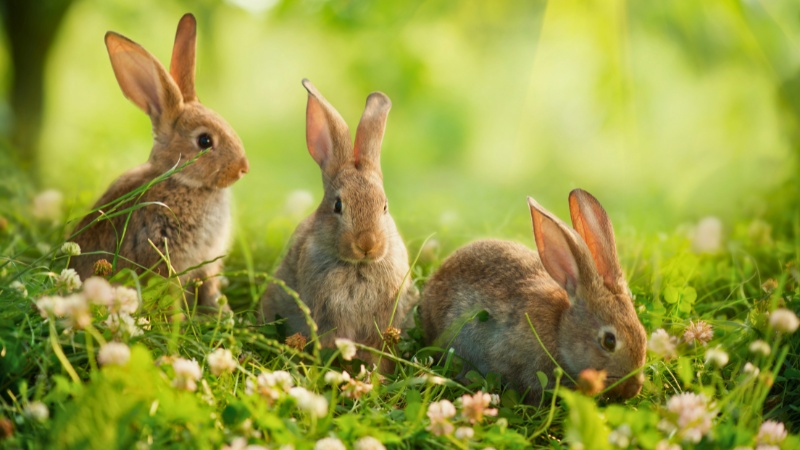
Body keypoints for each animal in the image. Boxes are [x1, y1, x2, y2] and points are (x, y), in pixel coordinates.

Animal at [70, 13, 249, 309]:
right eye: (204, 141)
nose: (243, 169)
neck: (180, 181)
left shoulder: (206, 266)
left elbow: (210, 288)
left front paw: (222, 312)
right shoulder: (162, 253)